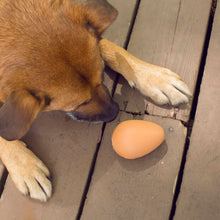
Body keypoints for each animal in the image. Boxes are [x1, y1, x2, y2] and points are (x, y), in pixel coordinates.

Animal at [0, 0, 191, 201]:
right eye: (79, 104)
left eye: (101, 78)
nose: (115, 112)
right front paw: (26, 168)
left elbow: (113, 49)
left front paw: (151, 75)